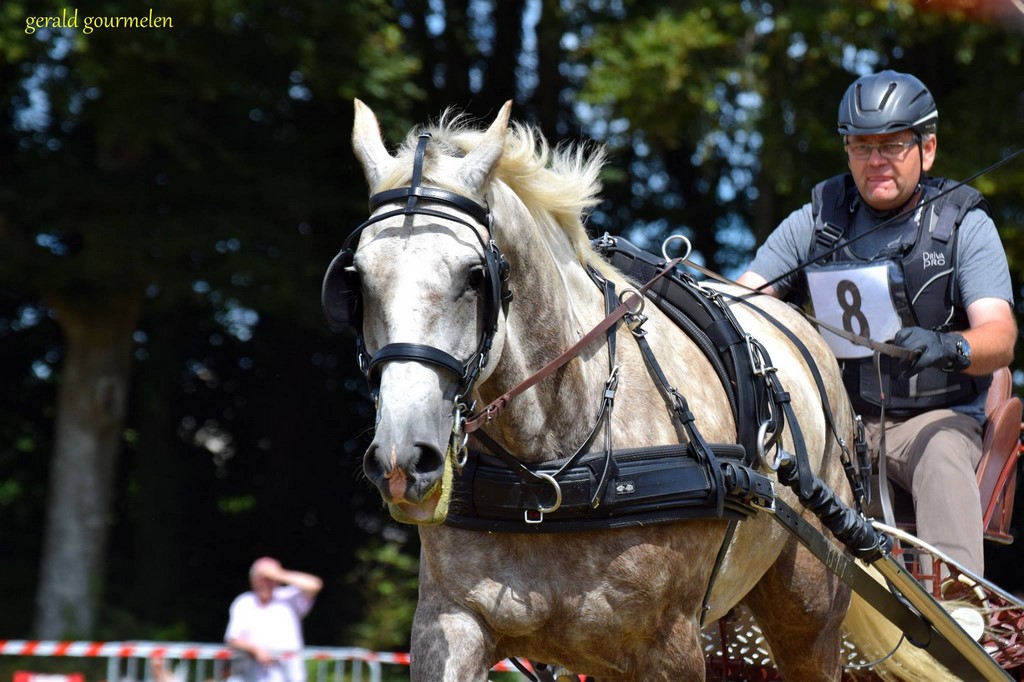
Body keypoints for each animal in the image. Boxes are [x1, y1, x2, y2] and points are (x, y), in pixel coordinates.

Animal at [333, 99, 947, 681]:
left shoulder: (669, 647)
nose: (402, 458)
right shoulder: (451, 623)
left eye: (473, 275)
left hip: (811, 618)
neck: (548, 475)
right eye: (356, 279)